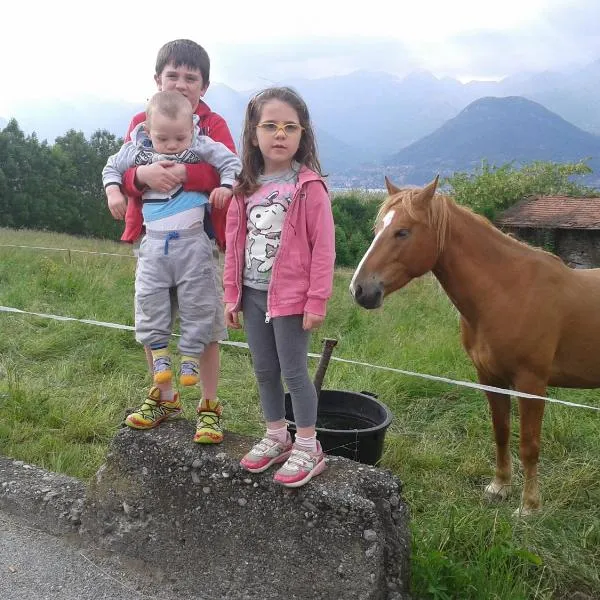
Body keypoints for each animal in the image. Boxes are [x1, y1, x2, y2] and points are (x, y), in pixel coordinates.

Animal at [350, 176, 600, 515]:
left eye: (402, 231)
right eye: (378, 229)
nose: (360, 289)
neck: (509, 292)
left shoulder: (531, 384)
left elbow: (529, 445)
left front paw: (529, 506)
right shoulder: (490, 377)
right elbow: (501, 432)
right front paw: (499, 487)